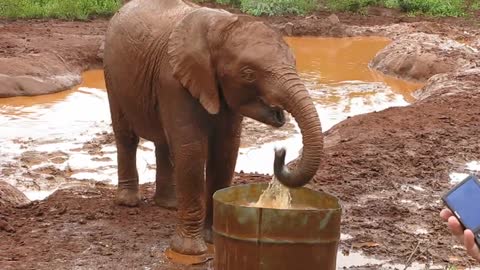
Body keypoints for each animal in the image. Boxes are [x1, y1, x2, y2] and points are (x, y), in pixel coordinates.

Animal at [103, 0, 324, 255]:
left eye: (294, 63)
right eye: (248, 74)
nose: (280, 152)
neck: (222, 27)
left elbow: (226, 151)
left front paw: (213, 239)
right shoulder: (173, 81)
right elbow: (191, 150)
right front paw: (189, 251)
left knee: (163, 143)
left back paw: (169, 205)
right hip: (112, 75)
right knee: (127, 136)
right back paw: (128, 202)